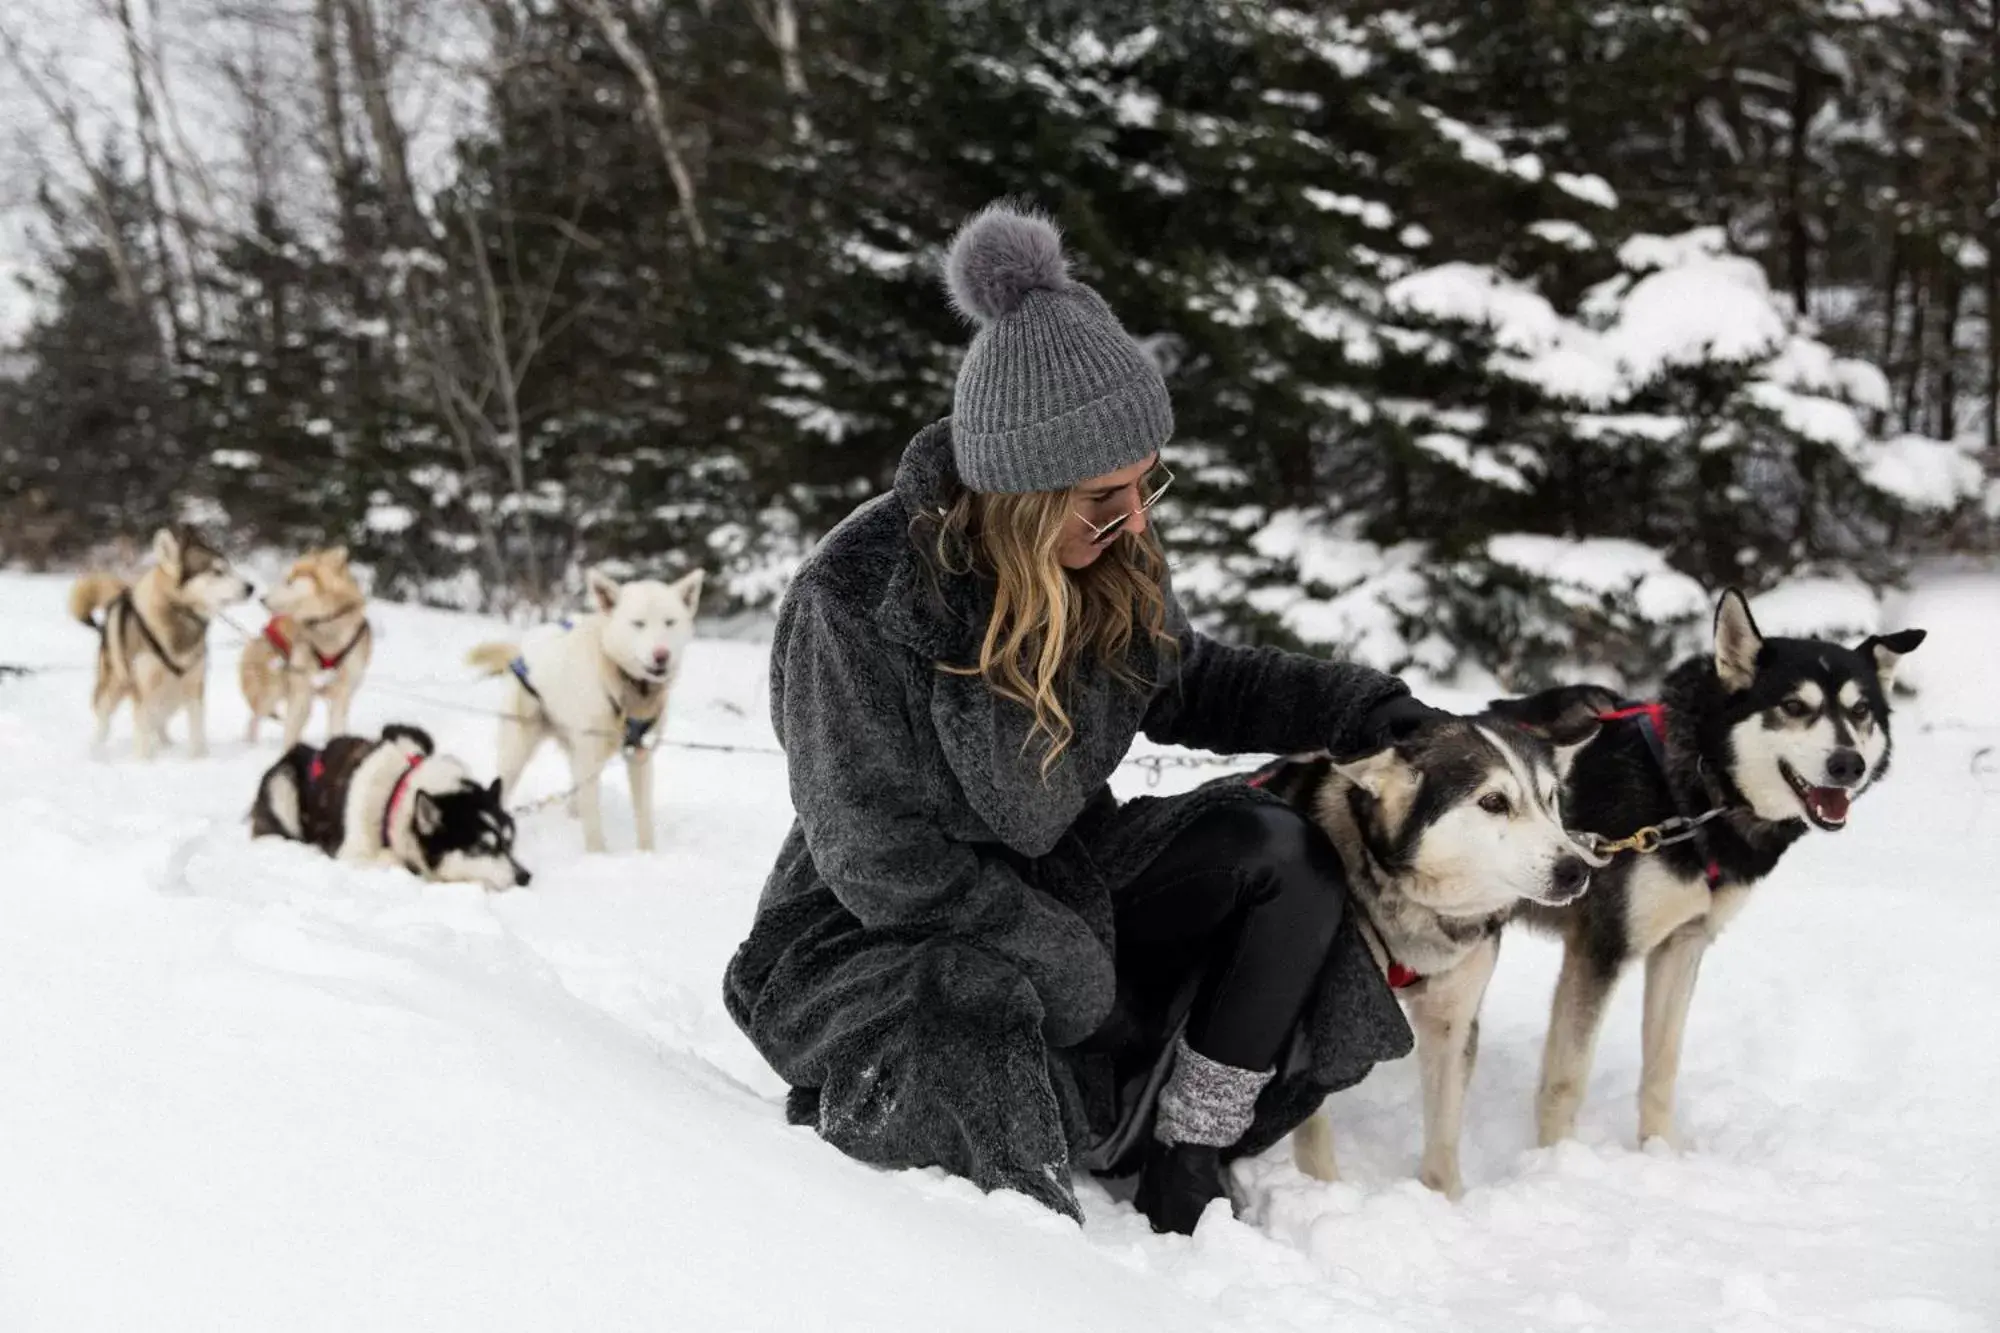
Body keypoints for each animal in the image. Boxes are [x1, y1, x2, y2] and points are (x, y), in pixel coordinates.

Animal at [249, 720, 532, 888]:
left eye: (510, 843)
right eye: (482, 847)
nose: (525, 877)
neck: (395, 793)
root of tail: (309, 751)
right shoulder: (351, 855)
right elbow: (393, 861)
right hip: (281, 785)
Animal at [1504, 588, 1920, 1144]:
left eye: (1860, 711)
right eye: (1793, 706)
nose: (1847, 764)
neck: (1691, 790)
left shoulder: (1683, 943)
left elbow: (1662, 1064)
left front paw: (1659, 1152)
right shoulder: (1600, 949)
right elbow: (1567, 1079)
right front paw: (1557, 1158)